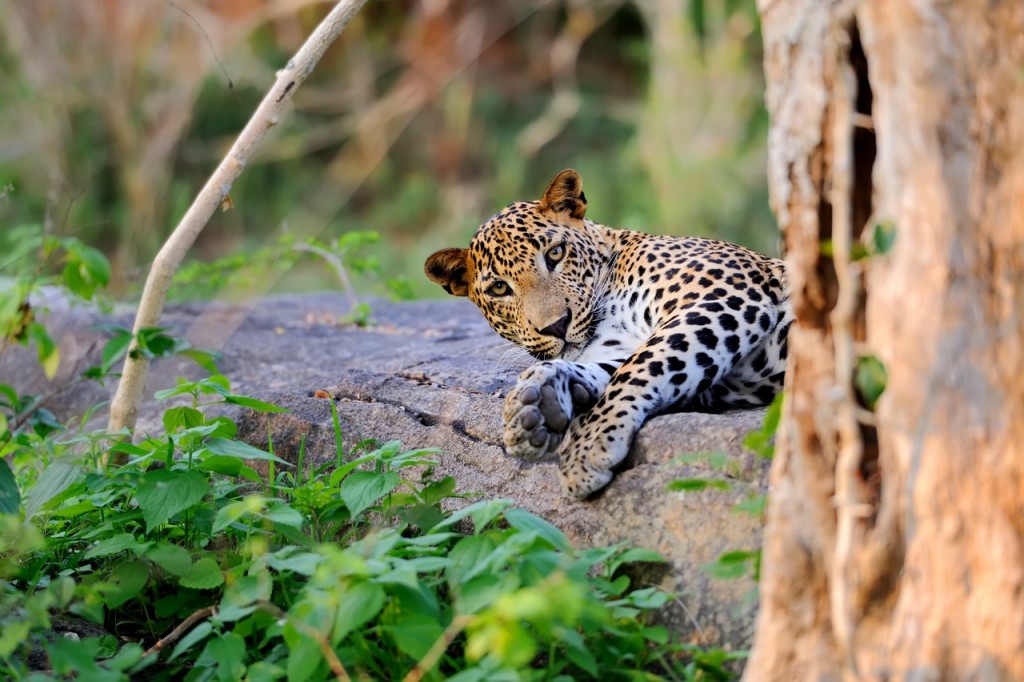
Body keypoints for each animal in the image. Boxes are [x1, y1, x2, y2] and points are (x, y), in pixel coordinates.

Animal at [423, 166, 790, 497]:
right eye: (499, 288)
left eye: (555, 253)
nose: (556, 325)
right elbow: (617, 367)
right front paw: (540, 402)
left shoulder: (721, 295)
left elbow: (640, 366)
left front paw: (588, 445)